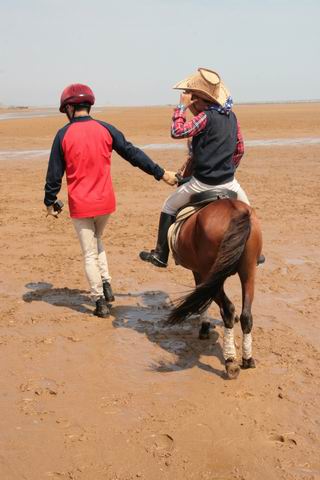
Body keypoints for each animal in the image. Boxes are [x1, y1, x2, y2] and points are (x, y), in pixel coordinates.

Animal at [168, 195, 262, 378]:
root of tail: (236, 210)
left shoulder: (198, 272)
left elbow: (203, 299)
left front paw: (204, 328)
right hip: (248, 271)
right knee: (246, 315)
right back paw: (247, 359)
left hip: (210, 273)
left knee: (228, 309)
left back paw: (231, 361)